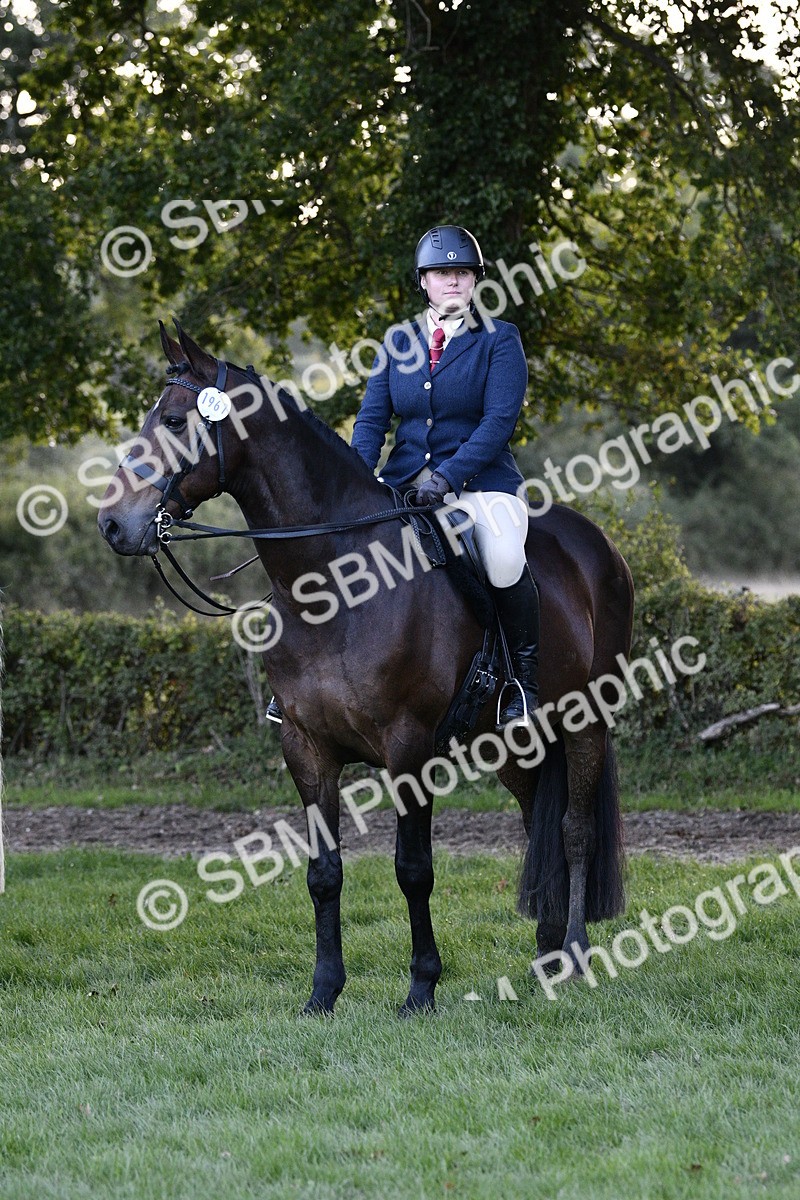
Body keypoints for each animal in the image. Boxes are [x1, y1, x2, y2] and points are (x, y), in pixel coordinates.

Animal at [98, 322, 634, 1016]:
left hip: (585, 719)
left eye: (171, 418)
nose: (114, 524)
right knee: (534, 819)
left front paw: (422, 988)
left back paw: (572, 952)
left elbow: (413, 869)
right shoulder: (307, 748)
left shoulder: (409, 748)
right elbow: (324, 873)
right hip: (511, 741)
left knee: (572, 829)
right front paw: (323, 993)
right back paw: (546, 953)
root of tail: (599, 546)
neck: (335, 580)